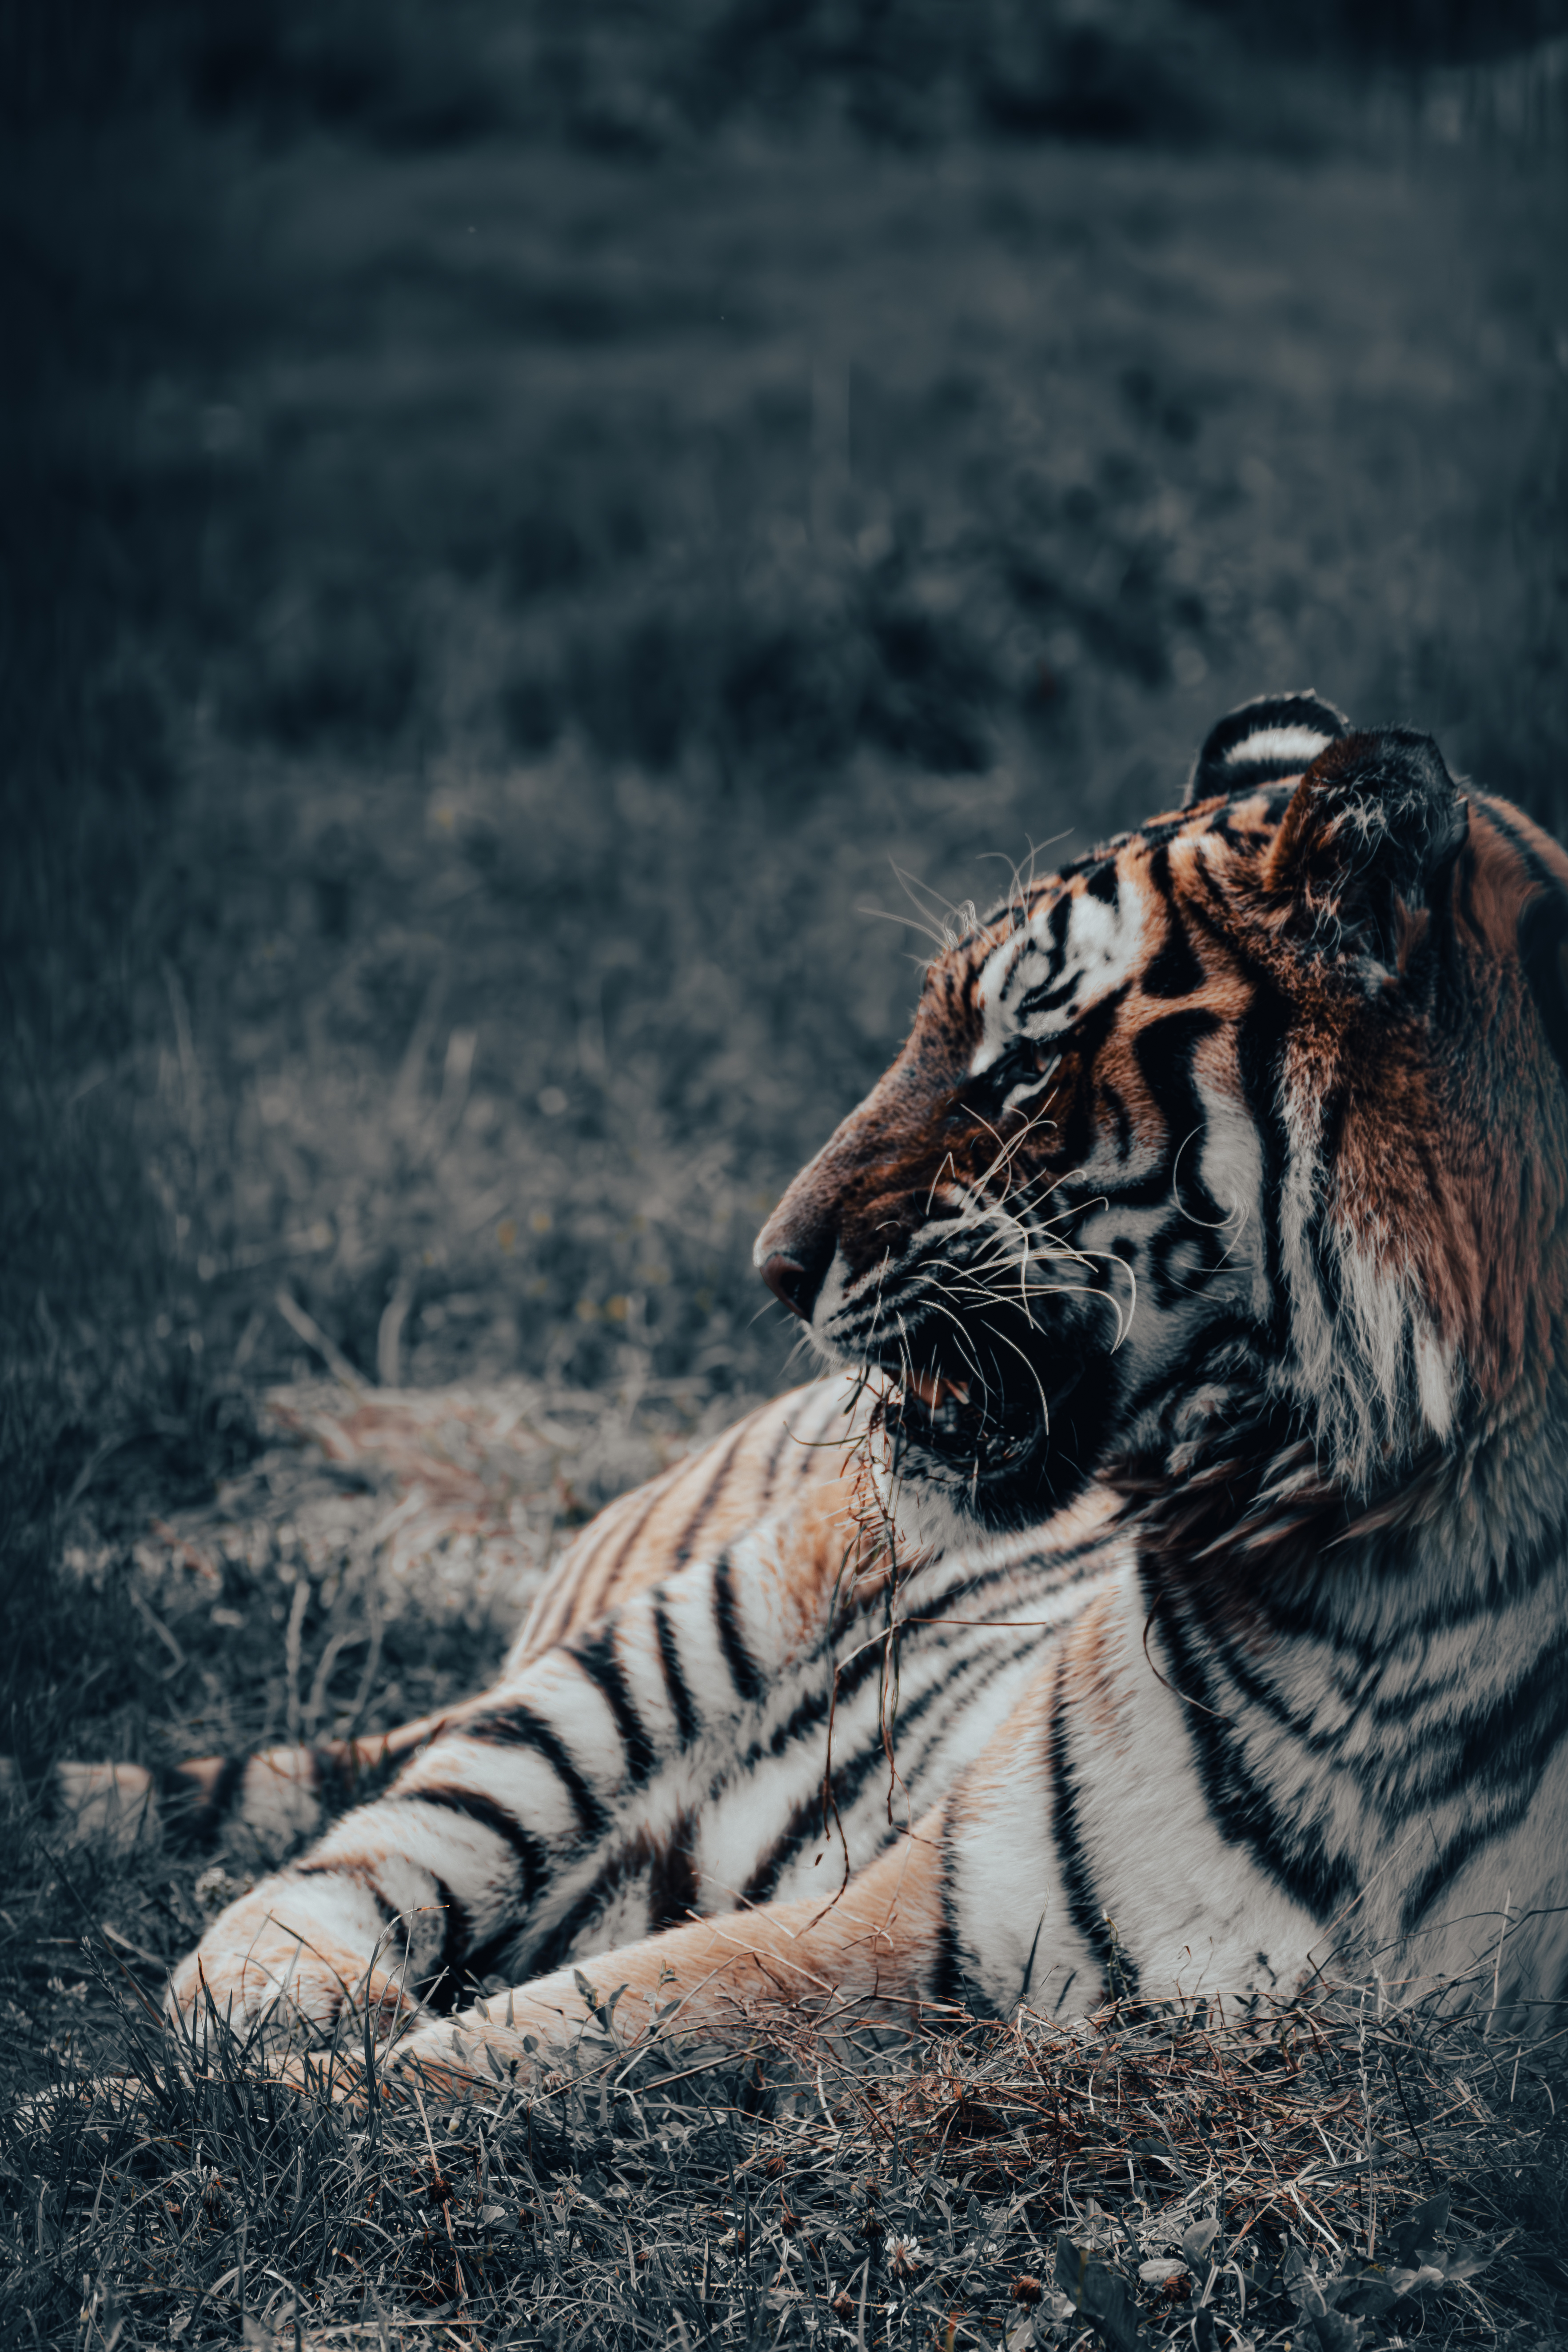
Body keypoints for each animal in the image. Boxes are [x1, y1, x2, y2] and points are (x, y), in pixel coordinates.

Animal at [58, 694, 1568, 2073]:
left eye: (1026, 1062)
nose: (773, 1265)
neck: (1362, 1603)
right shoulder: (918, 1904)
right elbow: (519, 2039)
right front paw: (235, 2112)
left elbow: (581, 2022)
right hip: (649, 1653)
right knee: (320, 1884)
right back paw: (291, 2011)